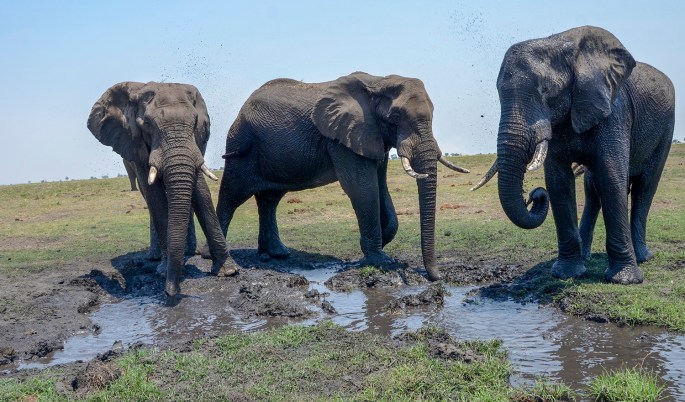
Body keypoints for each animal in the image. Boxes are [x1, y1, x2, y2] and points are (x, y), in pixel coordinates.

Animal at [88, 81, 238, 300]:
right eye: (147, 124)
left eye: (195, 122)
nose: (171, 292)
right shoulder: (135, 144)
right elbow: (155, 198)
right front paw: (164, 271)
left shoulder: (195, 145)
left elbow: (201, 192)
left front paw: (228, 271)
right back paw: (156, 257)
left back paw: (188, 253)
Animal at [216, 72, 469, 280]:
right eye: (396, 117)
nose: (436, 277)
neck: (379, 81)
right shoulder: (343, 139)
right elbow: (363, 188)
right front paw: (381, 261)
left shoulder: (372, 137)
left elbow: (381, 187)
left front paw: (376, 244)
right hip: (241, 145)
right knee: (232, 194)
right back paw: (216, 256)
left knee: (270, 199)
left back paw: (276, 254)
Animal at [473, 26, 675, 284]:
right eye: (498, 93)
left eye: (546, 90)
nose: (534, 196)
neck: (559, 44)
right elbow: (558, 183)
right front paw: (567, 274)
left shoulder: (614, 111)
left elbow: (611, 177)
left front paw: (626, 280)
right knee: (593, 188)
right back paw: (588, 256)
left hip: (666, 130)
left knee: (645, 186)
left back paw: (642, 257)